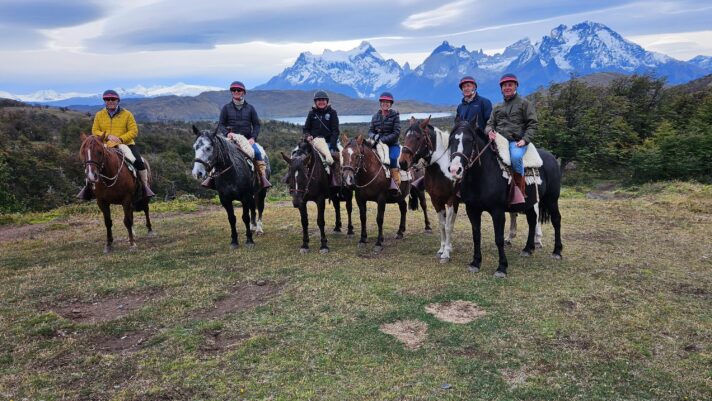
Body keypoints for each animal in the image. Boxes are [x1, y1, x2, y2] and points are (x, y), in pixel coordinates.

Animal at [450, 119, 560, 276]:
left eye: (470, 140)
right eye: (452, 140)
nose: (455, 170)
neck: (482, 175)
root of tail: (552, 158)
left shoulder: (498, 212)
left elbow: (499, 239)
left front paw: (502, 267)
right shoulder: (472, 210)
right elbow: (476, 236)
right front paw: (475, 263)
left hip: (552, 199)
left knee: (556, 220)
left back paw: (557, 251)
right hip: (530, 202)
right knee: (532, 220)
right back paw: (528, 249)